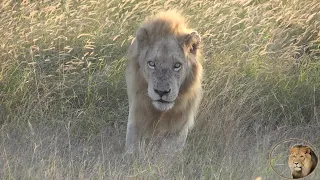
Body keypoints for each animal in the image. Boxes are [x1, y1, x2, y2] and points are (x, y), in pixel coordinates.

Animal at [124, 10, 202, 153]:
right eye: (152, 64)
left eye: (177, 65)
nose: (161, 92)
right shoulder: (136, 116)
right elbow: (132, 149)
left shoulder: (178, 129)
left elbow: (168, 154)